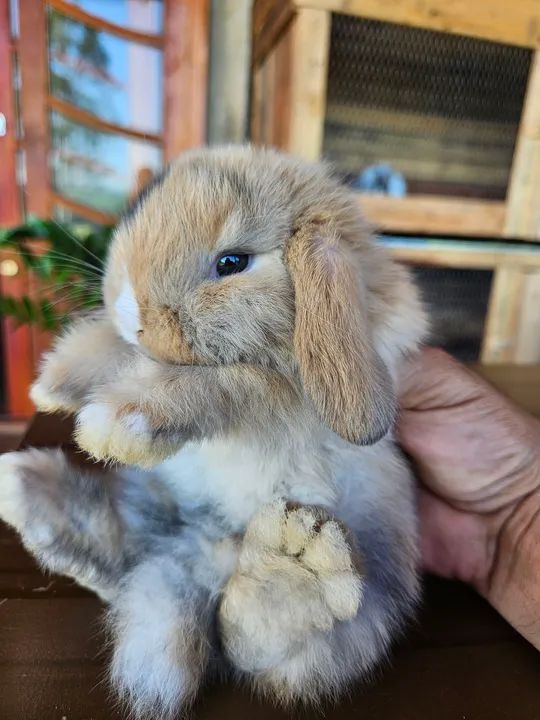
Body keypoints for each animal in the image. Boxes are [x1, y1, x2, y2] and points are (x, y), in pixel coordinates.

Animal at [0, 146, 427, 718]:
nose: (132, 308)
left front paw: (117, 425)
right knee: (119, 553)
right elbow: (116, 350)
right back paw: (28, 489)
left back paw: (292, 562)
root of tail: (199, 556)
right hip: (150, 503)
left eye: (232, 262)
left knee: (251, 640)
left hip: (364, 598)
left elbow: (218, 384)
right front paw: (52, 385)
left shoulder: (274, 394)